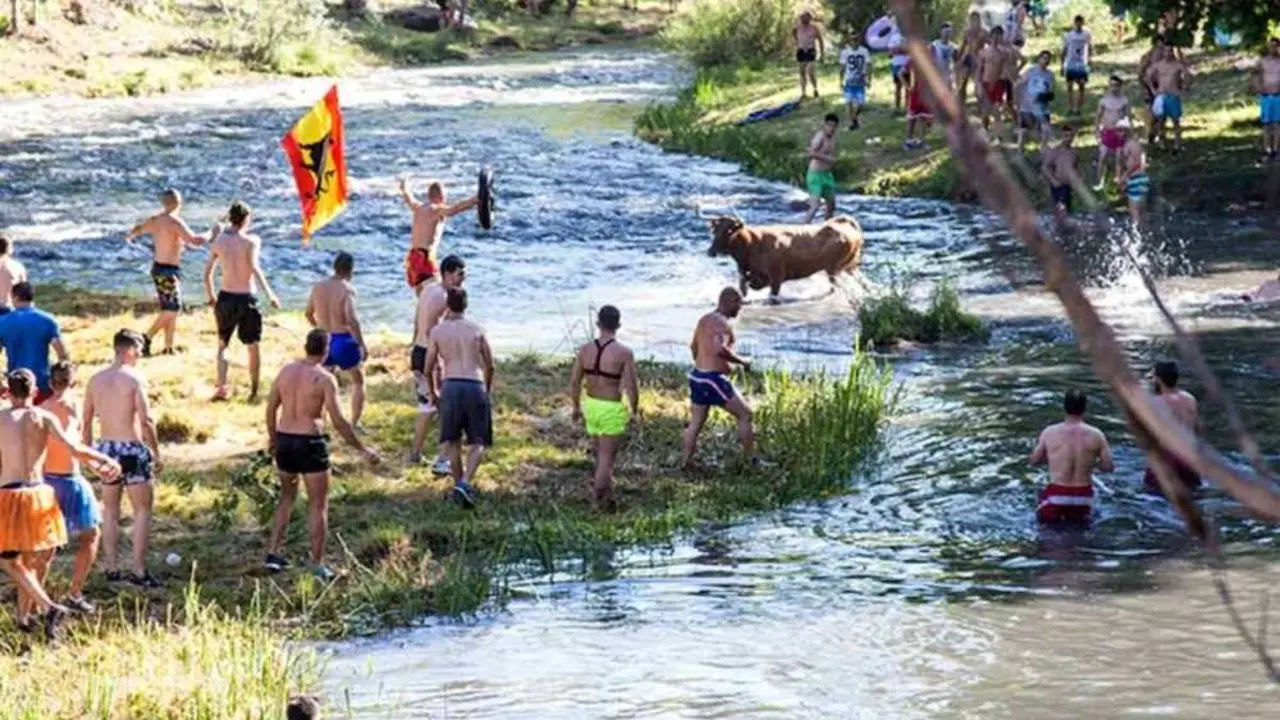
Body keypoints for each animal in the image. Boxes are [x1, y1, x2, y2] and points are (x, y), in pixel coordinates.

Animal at [707, 215, 865, 303]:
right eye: (714, 231)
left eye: (728, 231)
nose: (711, 251)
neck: (752, 245)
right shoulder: (747, 275)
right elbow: (744, 288)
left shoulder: (776, 276)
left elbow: (772, 296)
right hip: (850, 266)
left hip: (834, 269)